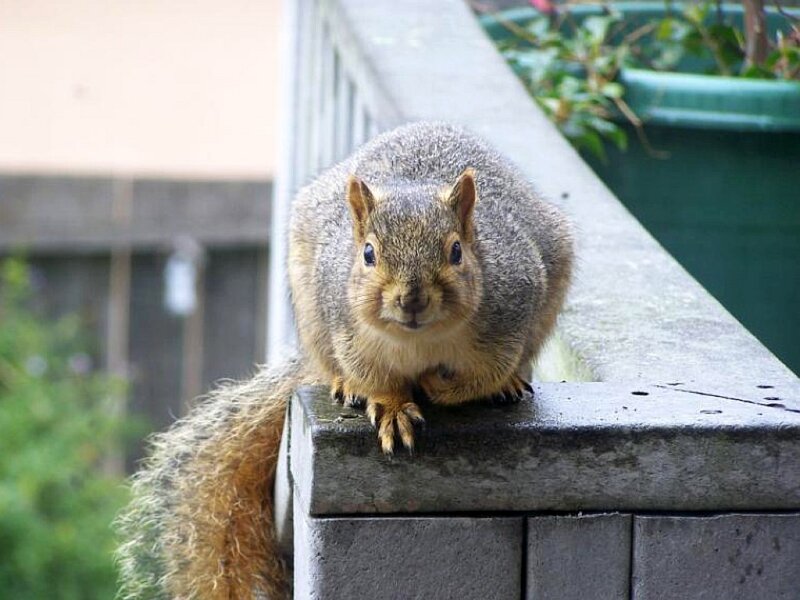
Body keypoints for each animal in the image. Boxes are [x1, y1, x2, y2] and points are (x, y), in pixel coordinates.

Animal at [115, 122, 573, 600]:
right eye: (368, 253)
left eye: (456, 252)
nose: (411, 300)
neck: (420, 343)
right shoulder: (350, 335)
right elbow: (374, 378)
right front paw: (392, 407)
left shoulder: (507, 323)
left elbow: (482, 377)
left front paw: (441, 386)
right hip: (313, 312)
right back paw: (345, 385)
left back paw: (510, 384)